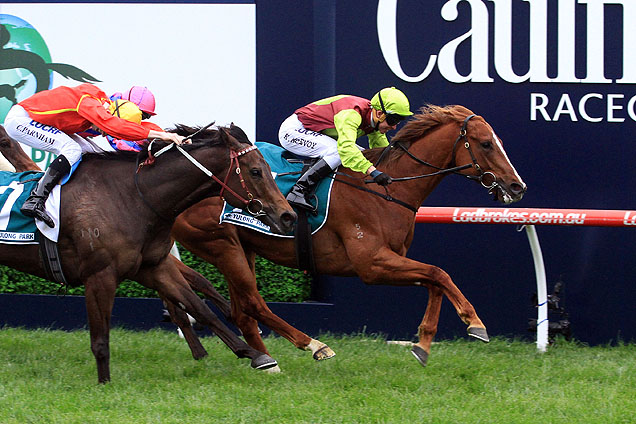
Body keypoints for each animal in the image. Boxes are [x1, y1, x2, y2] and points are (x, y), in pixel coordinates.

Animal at [0, 123, 296, 384]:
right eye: (256, 171)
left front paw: (257, 356)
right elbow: (100, 339)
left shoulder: (155, 266)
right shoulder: (99, 276)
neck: (130, 196)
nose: (288, 216)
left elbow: (199, 307)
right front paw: (104, 385)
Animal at [169, 105, 528, 368]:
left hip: (244, 247)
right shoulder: (371, 264)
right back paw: (312, 345)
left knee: (243, 309)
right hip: (221, 243)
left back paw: (266, 360)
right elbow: (439, 274)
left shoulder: (393, 258)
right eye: (486, 143)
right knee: (252, 303)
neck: (388, 190)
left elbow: (434, 281)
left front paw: (423, 344)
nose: (517, 186)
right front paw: (475, 323)